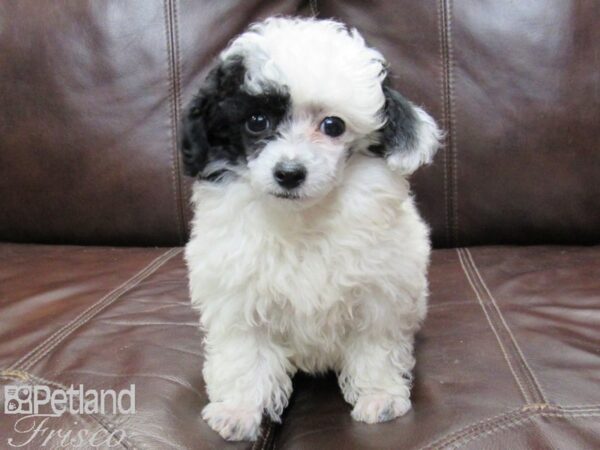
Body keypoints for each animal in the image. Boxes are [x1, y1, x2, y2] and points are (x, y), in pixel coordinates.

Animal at [182, 16, 440, 440]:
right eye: (257, 122)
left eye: (333, 126)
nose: (289, 173)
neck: (303, 217)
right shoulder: (238, 294)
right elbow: (244, 353)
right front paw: (239, 410)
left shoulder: (379, 293)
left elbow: (375, 345)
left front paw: (379, 397)